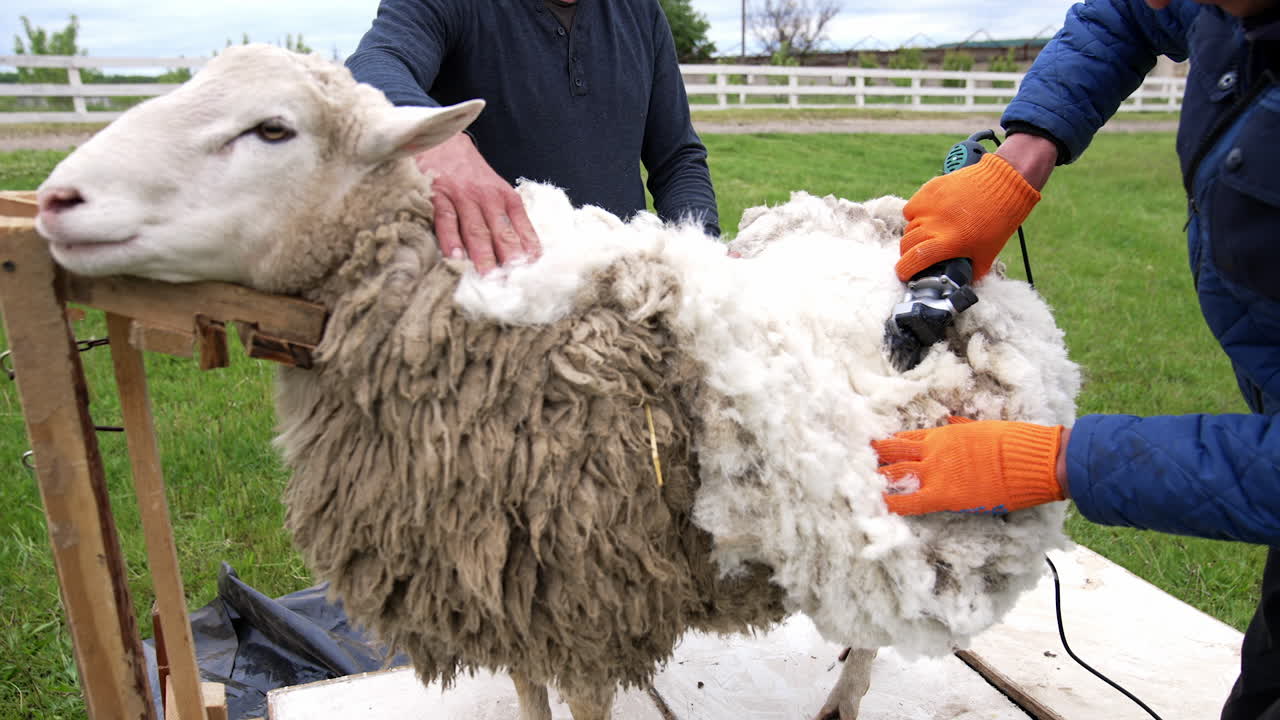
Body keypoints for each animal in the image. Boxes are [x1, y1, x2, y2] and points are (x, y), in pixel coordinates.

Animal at [33, 45, 1078, 720]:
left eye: (272, 129)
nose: (55, 200)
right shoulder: (499, 582)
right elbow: (529, 699)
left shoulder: (585, 602)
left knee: (872, 637)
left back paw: (842, 705)